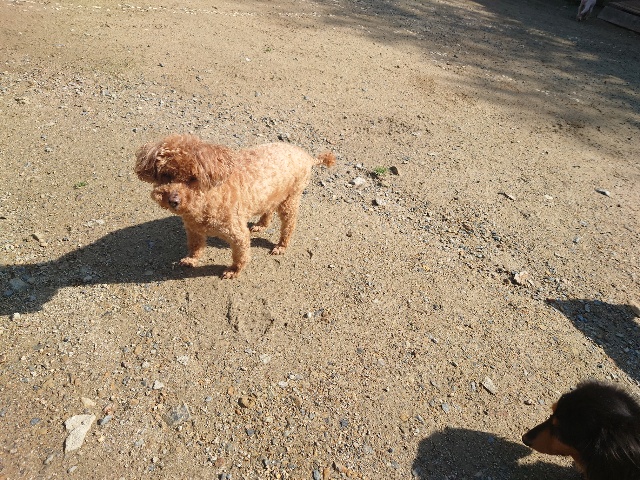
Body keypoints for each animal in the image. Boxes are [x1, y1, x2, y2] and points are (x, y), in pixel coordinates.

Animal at [135, 134, 335, 278]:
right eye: (166, 175)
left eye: (193, 178)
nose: (173, 201)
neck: (208, 200)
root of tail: (307, 156)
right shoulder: (192, 229)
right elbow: (195, 246)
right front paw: (191, 260)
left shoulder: (238, 234)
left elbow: (240, 255)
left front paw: (233, 271)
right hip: (270, 194)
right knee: (268, 210)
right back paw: (260, 225)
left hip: (290, 199)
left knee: (289, 225)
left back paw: (281, 246)